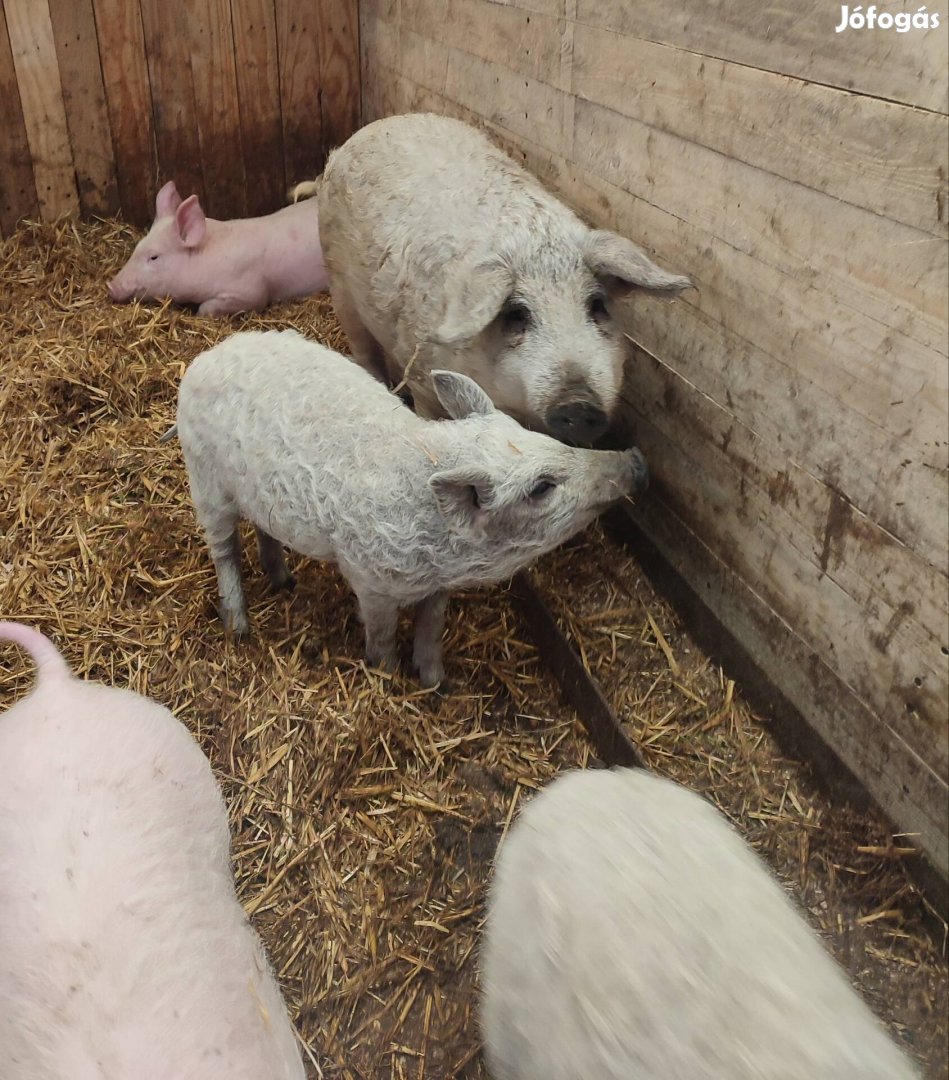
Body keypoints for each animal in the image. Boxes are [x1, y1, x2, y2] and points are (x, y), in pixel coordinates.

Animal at [107, 181, 328, 315]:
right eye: (137, 247)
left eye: (154, 257)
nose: (111, 286)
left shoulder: (250, 291)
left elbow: (208, 308)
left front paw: (199, 313)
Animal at [177, 326, 647, 691]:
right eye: (541, 487)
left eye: (537, 437)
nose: (635, 459)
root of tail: (205, 358)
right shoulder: (369, 580)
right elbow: (383, 634)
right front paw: (388, 678)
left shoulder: (439, 585)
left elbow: (432, 626)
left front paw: (436, 683)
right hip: (205, 481)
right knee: (224, 550)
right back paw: (239, 628)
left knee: (264, 531)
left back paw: (284, 583)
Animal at [319, 111, 690, 444]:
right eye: (517, 313)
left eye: (597, 305)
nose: (579, 402)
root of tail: (378, 124)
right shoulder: (423, 379)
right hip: (337, 280)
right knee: (363, 348)